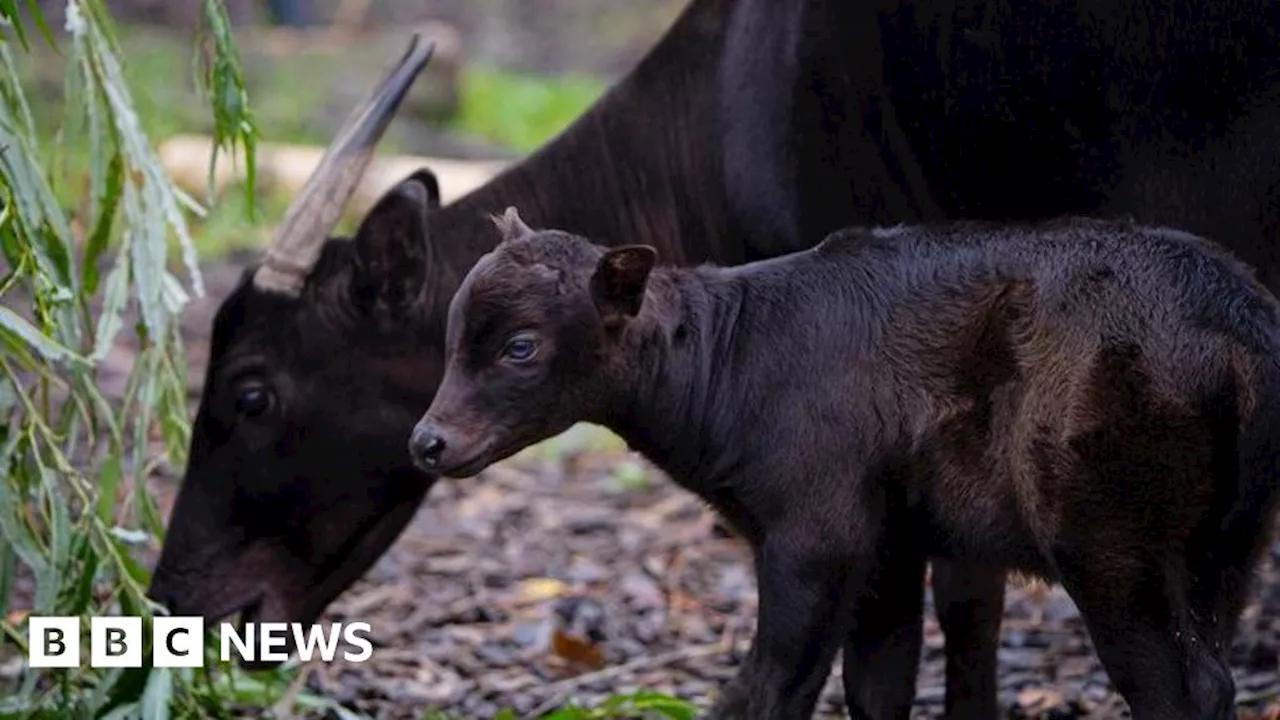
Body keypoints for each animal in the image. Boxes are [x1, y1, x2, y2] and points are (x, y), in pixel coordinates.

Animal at [409, 211, 1280, 717]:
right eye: (451, 334)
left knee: (1171, 686)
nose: (427, 442)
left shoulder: (817, 534)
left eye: (521, 347)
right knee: (1214, 678)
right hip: (1227, 549)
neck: (729, 363)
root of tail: (1237, 318)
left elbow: (775, 681)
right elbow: (879, 686)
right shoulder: (891, 546)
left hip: (1105, 535)